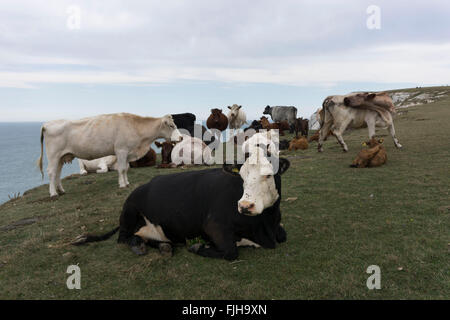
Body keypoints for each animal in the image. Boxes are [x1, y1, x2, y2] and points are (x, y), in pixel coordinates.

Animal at [37, 112, 181, 198]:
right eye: (171, 125)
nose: (180, 137)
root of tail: (47, 124)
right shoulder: (121, 150)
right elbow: (122, 169)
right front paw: (122, 185)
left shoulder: (127, 152)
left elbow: (125, 168)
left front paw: (126, 182)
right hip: (53, 155)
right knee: (51, 172)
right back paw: (53, 193)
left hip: (61, 157)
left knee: (58, 172)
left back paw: (61, 190)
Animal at [70, 146, 288, 262]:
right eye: (241, 176)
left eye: (269, 174)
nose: (245, 206)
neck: (264, 227)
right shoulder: (213, 224)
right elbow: (230, 251)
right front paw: (198, 247)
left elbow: (283, 235)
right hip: (129, 211)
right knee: (123, 237)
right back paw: (140, 245)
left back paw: (164, 246)